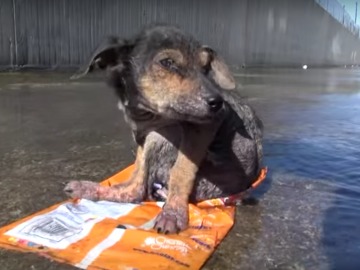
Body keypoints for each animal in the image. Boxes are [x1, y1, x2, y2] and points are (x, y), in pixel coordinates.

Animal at [64, 24, 264, 234]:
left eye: (205, 67)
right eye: (167, 62)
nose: (217, 103)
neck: (147, 112)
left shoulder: (205, 124)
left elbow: (181, 170)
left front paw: (173, 213)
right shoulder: (141, 135)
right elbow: (138, 169)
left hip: (163, 135)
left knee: (138, 191)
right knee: (135, 187)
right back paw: (90, 188)